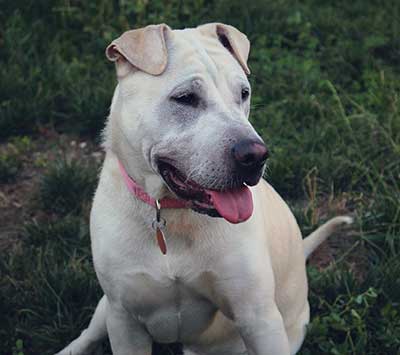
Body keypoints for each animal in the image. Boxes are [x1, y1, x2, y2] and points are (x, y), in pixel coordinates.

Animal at [57, 23, 354, 355]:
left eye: (244, 94)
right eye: (185, 97)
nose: (255, 155)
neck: (171, 213)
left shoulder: (258, 318)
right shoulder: (125, 319)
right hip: (106, 307)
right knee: (89, 333)